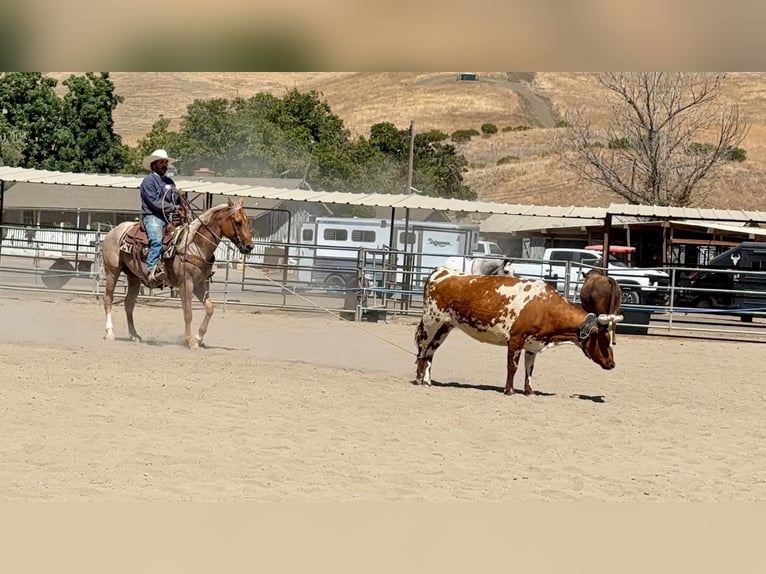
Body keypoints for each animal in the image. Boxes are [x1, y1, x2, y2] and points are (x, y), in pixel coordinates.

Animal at [100, 198, 254, 348]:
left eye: (247, 221)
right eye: (238, 222)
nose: (249, 246)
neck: (195, 245)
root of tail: (113, 231)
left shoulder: (198, 284)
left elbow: (210, 308)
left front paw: (199, 338)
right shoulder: (186, 283)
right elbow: (188, 313)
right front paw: (190, 341)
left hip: (134, 277)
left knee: (129, 304)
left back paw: (134, 335)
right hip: (112, 272)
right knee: (108, 299)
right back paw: (110, 332)